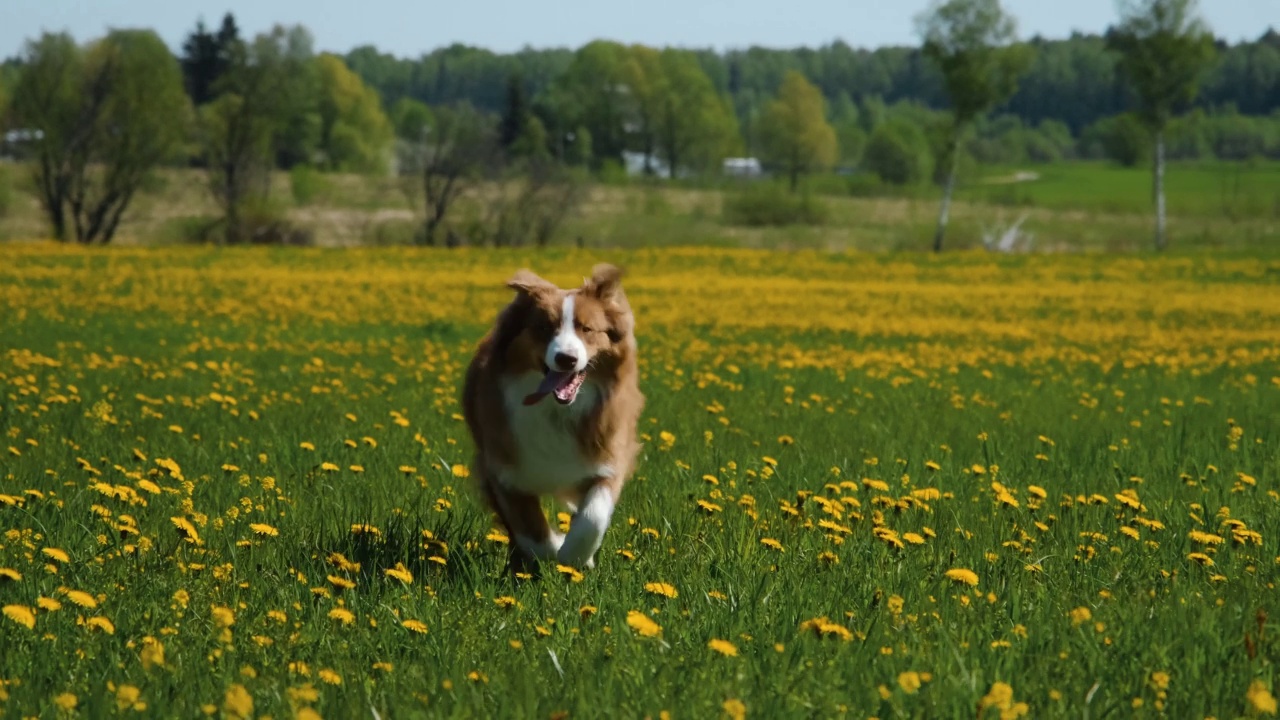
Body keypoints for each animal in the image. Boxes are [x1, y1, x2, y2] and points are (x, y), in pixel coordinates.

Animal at [463, 260, 645, 568]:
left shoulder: (607, 457)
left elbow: (593, 516)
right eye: (544, 327)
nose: (566, 359)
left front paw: (574, 557)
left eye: (587, 329)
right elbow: (530, 530)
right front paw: (552, 551)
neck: (556, 411)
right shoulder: (502, 469)